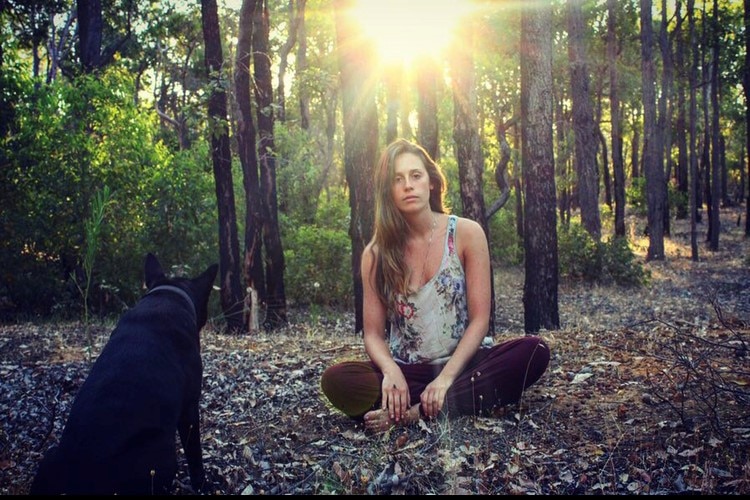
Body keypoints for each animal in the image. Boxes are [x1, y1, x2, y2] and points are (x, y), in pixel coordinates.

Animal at [32, 254, 220, 496]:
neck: (168, 295)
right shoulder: (189, 407)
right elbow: (194, 453)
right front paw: (203, 484)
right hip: (162, 456)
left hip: (50, 457)